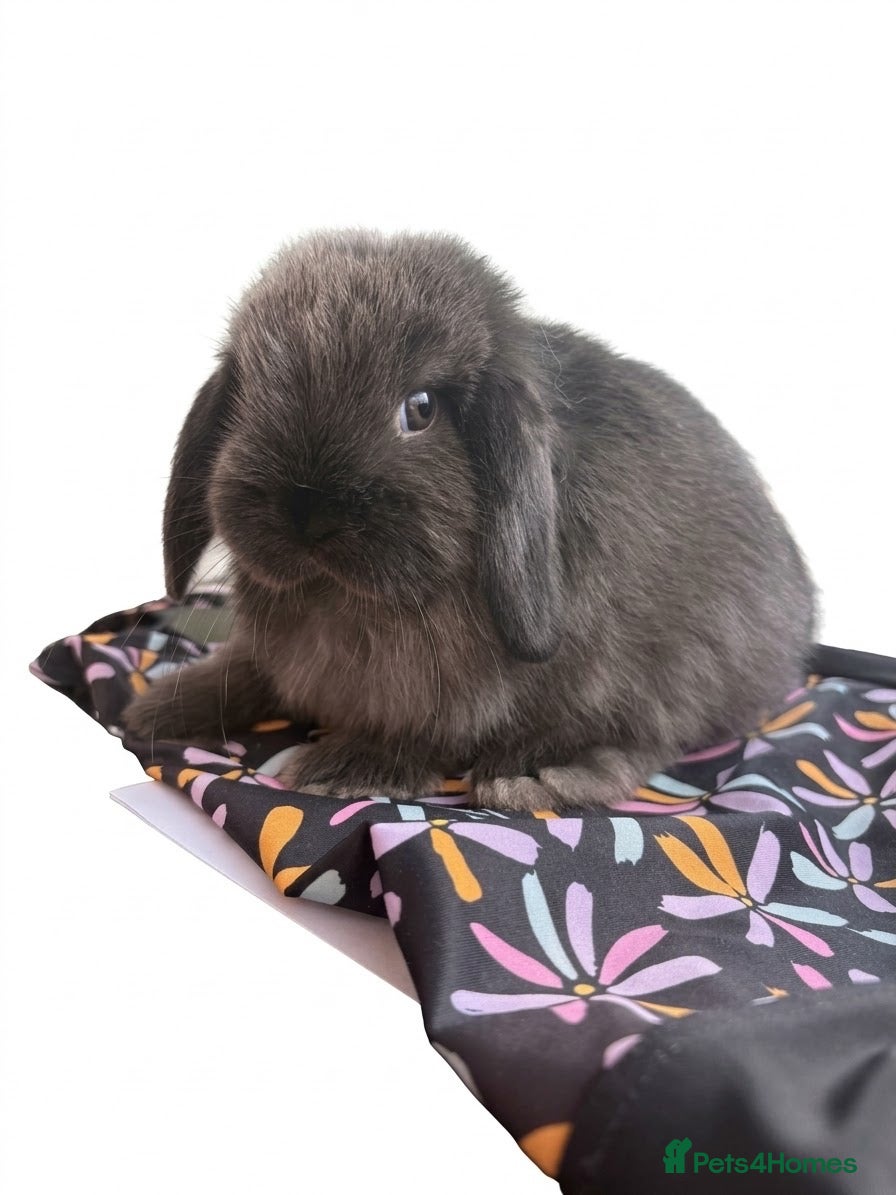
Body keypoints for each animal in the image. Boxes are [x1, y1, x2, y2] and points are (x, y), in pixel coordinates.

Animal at [122, 228, 816, 811]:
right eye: (245, 396)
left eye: (421, 408)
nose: (306, 509)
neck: (345, 601)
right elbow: (242, 672)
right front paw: (157, 710)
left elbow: (433, 728)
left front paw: (348, 769)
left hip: (690, 662)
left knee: (652, 731)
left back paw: (535, 776)